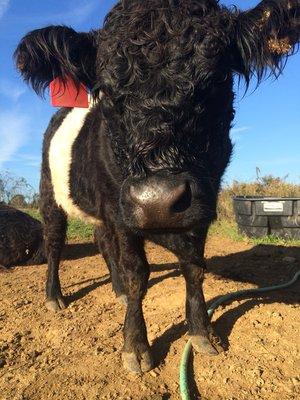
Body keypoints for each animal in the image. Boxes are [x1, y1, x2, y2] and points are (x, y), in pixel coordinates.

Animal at [14, 1, 300, 374]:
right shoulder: (123, 209)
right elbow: (138, 273)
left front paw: (201, 331)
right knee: (55, 242)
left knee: (103, 240)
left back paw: (117, 289)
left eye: (217, 80)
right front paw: (135, 345)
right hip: (51, 195)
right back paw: (54, 295)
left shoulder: (201, 201)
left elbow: (194, 266)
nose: (157, 200)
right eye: (106, 91)